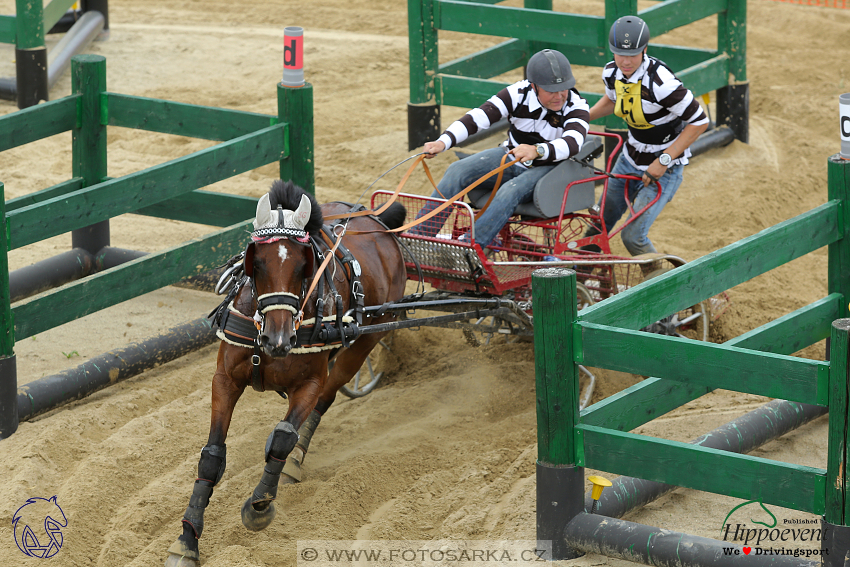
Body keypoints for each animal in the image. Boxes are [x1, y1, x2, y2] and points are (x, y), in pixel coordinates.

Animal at [166, 180, 408, 564]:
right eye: (257, 263)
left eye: (302, 266)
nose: (277, 340)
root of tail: (378, 222)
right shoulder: (225, 380)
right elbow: (211, 456)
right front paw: (188, 539)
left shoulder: (309, 382)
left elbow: (283, 435)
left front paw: (259, 506)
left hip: (363, 345)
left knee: (325, 400)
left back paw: (295, 459)